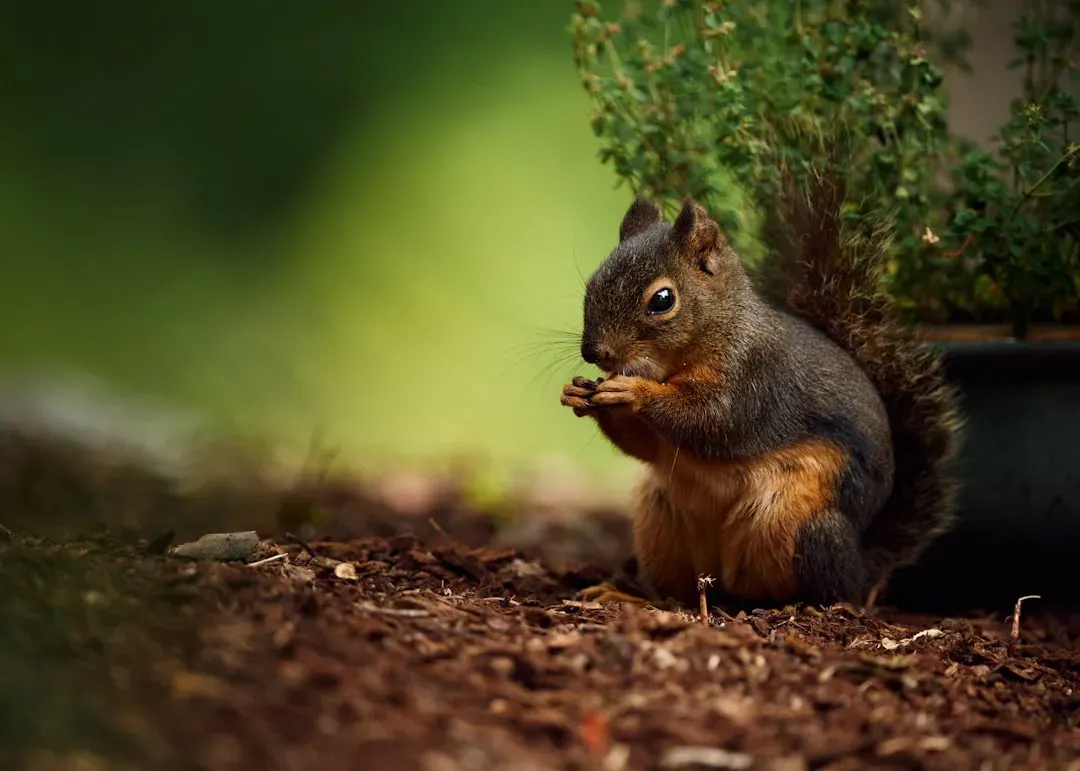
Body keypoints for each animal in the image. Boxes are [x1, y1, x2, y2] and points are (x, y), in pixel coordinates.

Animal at [559, 163, 963, 611]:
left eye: (662, 300)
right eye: (593, 283)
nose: (594, 351)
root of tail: (866, 566)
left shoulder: (755, 378)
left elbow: (712, 420)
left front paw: (633, 393)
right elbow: (649, 447)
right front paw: (578, 394)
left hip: (800, 527)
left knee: (822, 588)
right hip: (660, 523)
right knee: (681, 593)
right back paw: (637, 597)